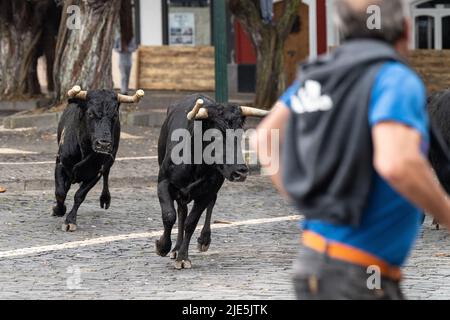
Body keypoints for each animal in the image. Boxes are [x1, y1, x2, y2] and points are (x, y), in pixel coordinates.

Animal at [156, 94, 268, 268]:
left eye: (240, 134)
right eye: (214, 136)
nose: (241, 172)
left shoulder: (208, 191)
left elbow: (191, 222)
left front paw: (183, 257)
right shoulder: (163, 183)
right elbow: (169, 216)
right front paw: (163, 246)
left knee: (208, 204)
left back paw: (203, 240)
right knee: (181, 211)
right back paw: (175, 248)